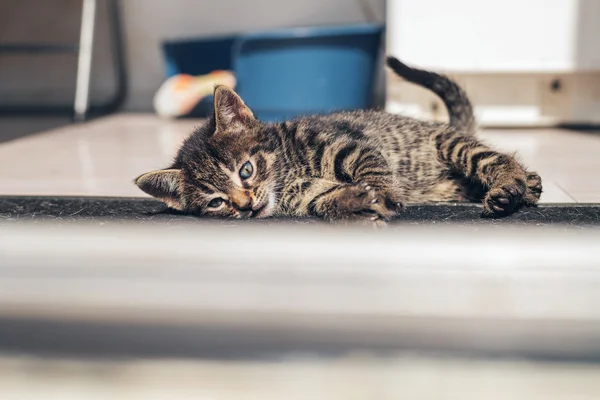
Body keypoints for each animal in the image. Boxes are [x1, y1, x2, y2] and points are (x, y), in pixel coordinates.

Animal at [137, 55, 544, 223]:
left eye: (246, 170)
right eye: (216, 202)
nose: (246, 205)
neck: (287, 173)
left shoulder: (344, 143)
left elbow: (372, 167)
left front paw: (384, 194)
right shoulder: (304, 194)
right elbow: (323, 199)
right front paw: (352, 202)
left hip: (449, 144)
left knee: (496, 158)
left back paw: (511, 187)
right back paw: (528, 185)